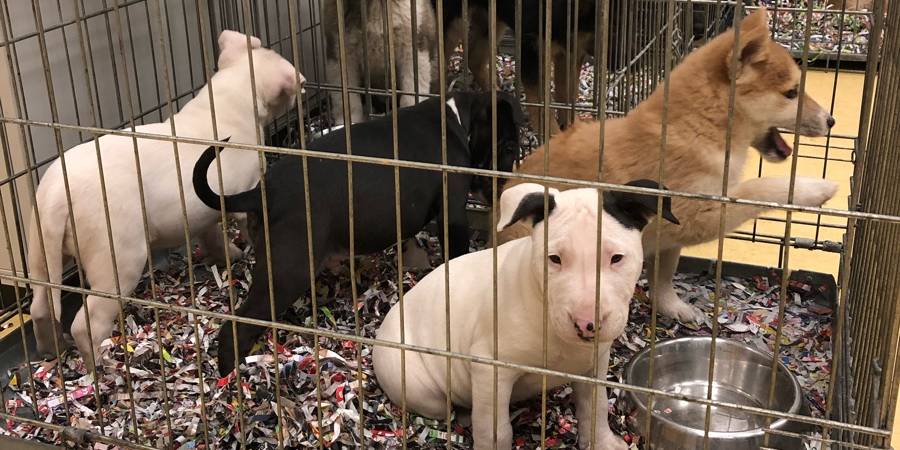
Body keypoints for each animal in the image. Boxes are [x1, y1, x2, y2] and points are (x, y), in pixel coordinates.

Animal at [28, 29, 302, 370]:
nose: (303, 84)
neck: (227, 102)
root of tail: (58, 194)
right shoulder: (246, 190)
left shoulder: (203, 210)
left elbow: (212, 236)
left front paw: (229, 254)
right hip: (118, 258)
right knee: (86, 323)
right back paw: (99, 365)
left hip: (41, 250)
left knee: (40, 307)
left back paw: (51, 349)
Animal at [193, 90, 524, 372]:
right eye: (508, 147)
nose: (506, 189)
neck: (456, 120)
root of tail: (263, 191)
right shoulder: (452, 213)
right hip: (289, 269)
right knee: (236, 326)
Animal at [370, 180, 676, 450]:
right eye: (554, 259)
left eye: (617, 258)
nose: (586, 324)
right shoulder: (490, 368)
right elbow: (495, 430)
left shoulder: (595, 364)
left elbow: (596, 407)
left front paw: (603, 442)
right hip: (419, 387)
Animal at [502, 7, 840, 324]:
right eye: (791, 93)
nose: (831, 121)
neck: (696, 127)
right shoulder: (698, 214)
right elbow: (758, 189)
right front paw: (813, 188)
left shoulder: (670, 236)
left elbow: (663, 277)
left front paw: (672, 307)